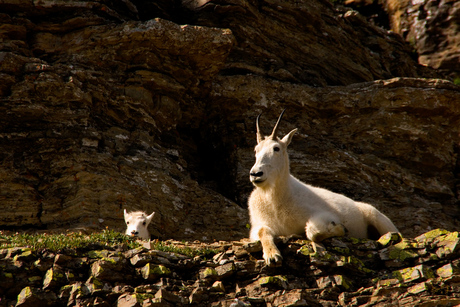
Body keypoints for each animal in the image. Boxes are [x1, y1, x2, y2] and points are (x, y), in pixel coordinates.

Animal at [248, 111, 398, 268]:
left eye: (276, 148)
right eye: (256, 150)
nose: (256, 174)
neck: (276, 199)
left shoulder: (323, 214)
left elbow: (313, 232)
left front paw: (340, 228)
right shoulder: (259, 224)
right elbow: (262, 231)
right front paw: (272, 256)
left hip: (378, 218)